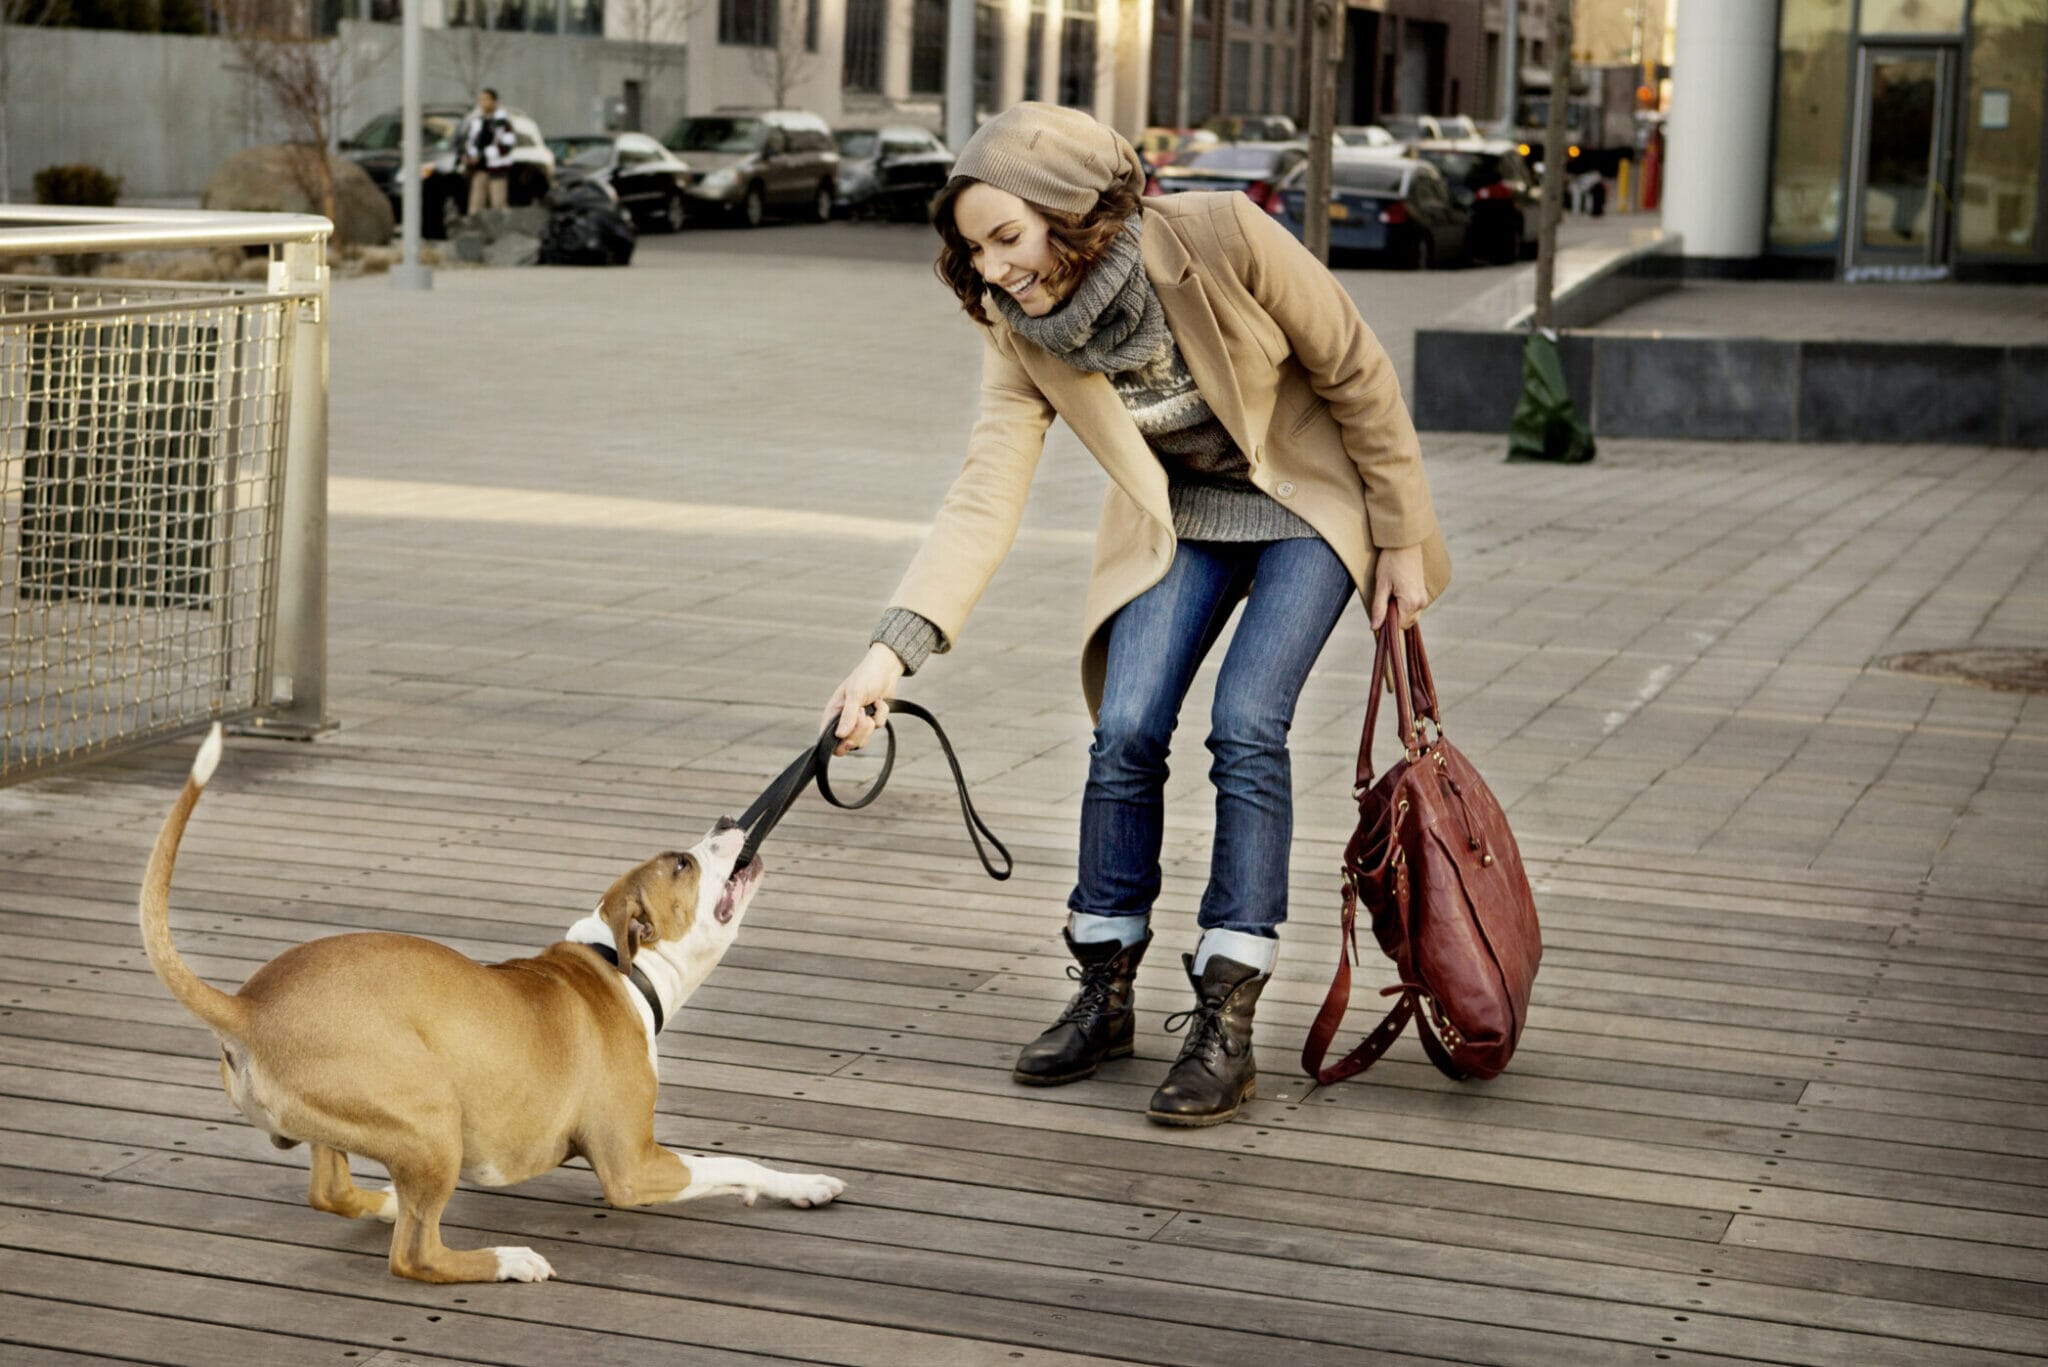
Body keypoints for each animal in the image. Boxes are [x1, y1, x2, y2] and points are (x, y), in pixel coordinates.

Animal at [140, 725, 839, 1287]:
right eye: (683, 864)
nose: (726, 820)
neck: (621, 964)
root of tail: (248, 1006)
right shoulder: (632, 1166)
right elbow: (732, 1161)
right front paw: (798, 1183)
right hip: (431, 1118)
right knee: (416, 1256)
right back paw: (506, 1261)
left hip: (349, 1123)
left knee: (331, 1190)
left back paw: (386, 1203)